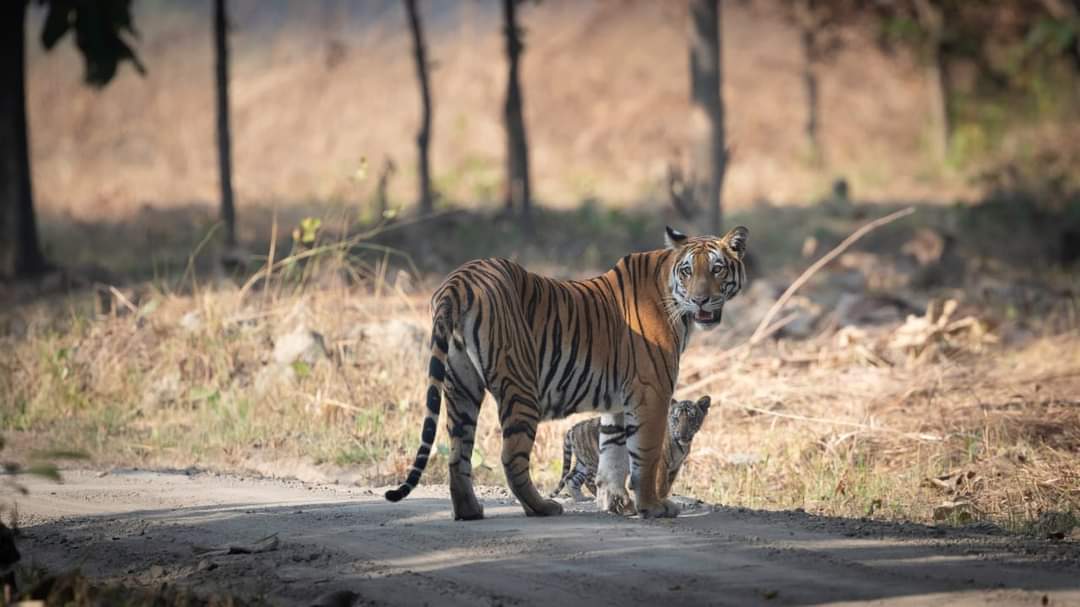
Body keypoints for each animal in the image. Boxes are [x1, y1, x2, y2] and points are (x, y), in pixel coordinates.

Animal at [384, 224, 747, 518]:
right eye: (687, 272)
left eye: (716, 269)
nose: (700, 300)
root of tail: (459, 279)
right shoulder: (651, 392)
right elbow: (645, 454)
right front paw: (652, 507)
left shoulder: (618, 400)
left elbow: (612, 452)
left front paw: (617, 505)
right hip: (520, 384)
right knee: (511, 457)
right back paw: (542, 507)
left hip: (460, 385)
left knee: (458, 452)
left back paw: (470, 511)